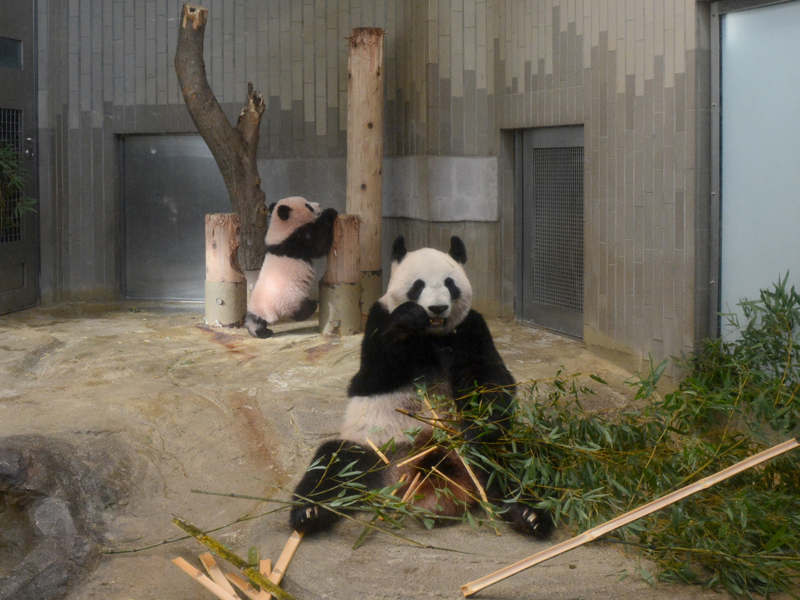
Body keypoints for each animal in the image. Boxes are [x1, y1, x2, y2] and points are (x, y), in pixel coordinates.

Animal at [244, 197, 338, 338]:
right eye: (308, 206)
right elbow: (318, 244)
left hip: (255, 304)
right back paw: (312, 306)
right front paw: (330, 213)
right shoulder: (296, 242)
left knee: (254, 319)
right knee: (298, 310)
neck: (280, 230)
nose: (319, 205)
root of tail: (267, 311)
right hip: (290, 298)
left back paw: (260, 332)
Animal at [290, 236, 556, 540]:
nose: (437, 308)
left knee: (512, 461)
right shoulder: (378, 321)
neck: (432, 335)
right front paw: (408, 319)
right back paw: (309, 513)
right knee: (332, 464)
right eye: (418, 285)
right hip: (374, 450)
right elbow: (372, 376)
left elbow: (491, 378)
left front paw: (483, 418)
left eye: (450, 283)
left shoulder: (472, 328)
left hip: (487, 454)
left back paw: (530, 514)